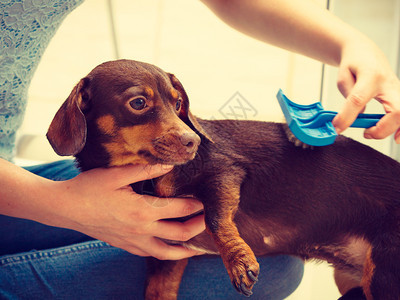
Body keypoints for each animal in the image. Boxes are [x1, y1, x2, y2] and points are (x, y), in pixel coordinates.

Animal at [45, 59, 400, 300]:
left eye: (178, 103)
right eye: (138, 103)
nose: (193, 142)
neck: (146, 177)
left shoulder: (224, 173)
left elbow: (216, 218)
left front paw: (239, 261)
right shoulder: (164, 255)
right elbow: (158, 291)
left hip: (382, 275)